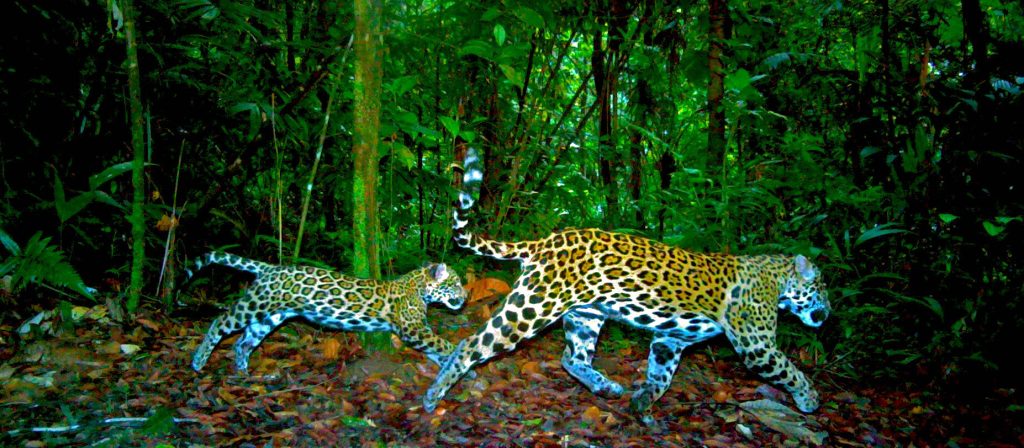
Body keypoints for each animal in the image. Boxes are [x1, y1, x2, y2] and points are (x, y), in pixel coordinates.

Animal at [186, 252, 468, 375]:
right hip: (254, 306)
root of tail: (270, 268)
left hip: (269, 317)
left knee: (244, 342)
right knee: (220, 321)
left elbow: (436, 350)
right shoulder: (414, 329)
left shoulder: (419, 332)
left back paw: (242, 370)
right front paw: (459, 356)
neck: (418, 286)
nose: (465, 296)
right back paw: (199, 360)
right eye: (455, 284)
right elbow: (443, 344)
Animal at [423, 148, 831, 421]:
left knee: (571, 357)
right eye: (823, 289)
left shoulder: (670, 338)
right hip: (531, 308)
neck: (777, 278)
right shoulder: (756, 345)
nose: (827, 314)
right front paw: (810, 400)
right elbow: (791, 370)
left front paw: (642, 403)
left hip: (585, 314)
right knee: (470, 344)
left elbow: (661, 377)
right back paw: (434, 394)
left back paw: (605, 385)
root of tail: (544, 241)